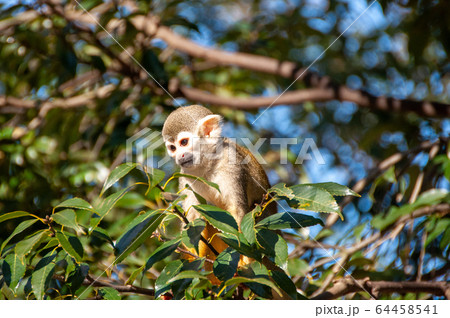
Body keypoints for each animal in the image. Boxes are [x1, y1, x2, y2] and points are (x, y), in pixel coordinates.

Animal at [160, 105, 276, 262]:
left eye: (184, 142)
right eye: (172, 148)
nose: (180, 156)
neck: (207, 164)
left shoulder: (231, 163)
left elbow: (236, 211)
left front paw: (245, 258)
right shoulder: (185, 176)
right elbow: (193, 218)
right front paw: (193, 257)